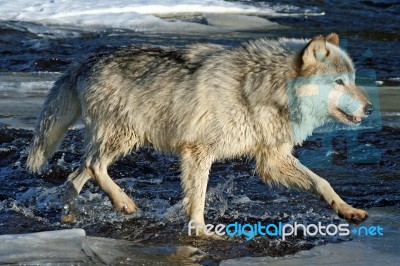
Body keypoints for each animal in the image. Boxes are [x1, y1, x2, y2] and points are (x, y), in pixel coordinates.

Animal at [27, 32, 372, 233]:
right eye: (339, 82)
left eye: (352, 79)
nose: (369, 108)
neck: (258, 89)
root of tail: (84, 62)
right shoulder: (198, 151)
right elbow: (198, 199)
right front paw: (201, 232)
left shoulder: (271, 161)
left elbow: (322, 182)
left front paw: (347, 210)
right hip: (124, 137)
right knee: (93, 165)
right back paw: (124, 204)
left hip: (117, 141)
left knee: (73, 178)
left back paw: (70, 220)